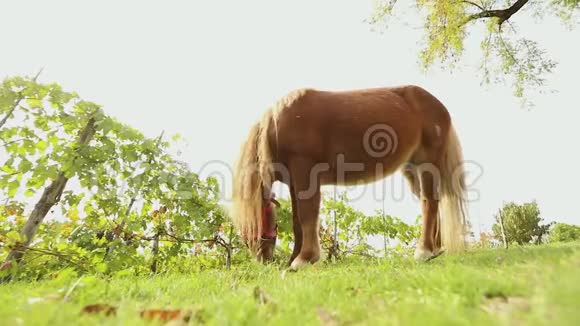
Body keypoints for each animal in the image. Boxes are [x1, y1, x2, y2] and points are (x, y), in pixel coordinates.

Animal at [231, 84, 466, 270]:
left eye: (258, 219)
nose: (262, 259)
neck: (278, 127)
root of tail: (437, 105)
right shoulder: (294, 182)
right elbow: (298, 220)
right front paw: (293, 260)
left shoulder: (305, 172)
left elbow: (307, 215)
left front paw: (304, 259)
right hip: (411, 169)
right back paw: (435, 250)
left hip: (427, 165)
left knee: (429, 203)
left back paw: (423, 251)